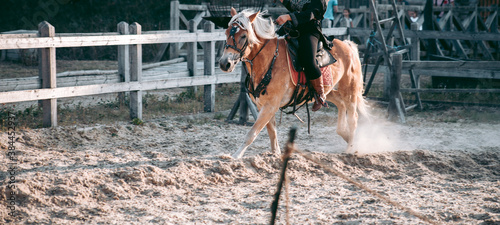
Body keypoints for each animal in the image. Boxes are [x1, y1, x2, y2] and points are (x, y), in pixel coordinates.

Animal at [219, 8, 368, 158]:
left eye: (244, 35)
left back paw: (350, 149)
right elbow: (272, 134)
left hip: (349, 90)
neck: (269, 60)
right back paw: (346, 135)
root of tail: (348, 45)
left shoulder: (270, 106)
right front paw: (275, 154)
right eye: (226, 32)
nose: (225, 64)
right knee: (340, 103)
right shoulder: (264, 106)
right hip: (327, 91)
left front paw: (235, 156)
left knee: (353, 119)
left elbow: (252, 133)